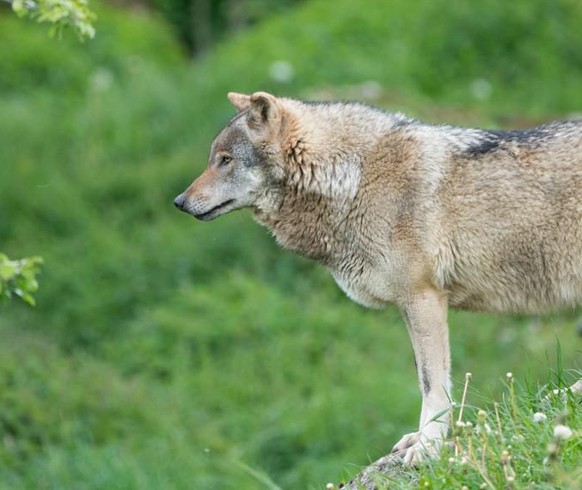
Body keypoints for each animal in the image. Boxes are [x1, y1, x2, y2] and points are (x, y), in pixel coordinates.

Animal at [175, 92, 582, 464]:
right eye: (214, 159)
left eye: (225, 160)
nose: (179, 201)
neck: (354, 179)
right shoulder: (410, 306)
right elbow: (424, 378)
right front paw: (421, 437)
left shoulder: (423, 298)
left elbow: (432, 383)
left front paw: (429, 445)